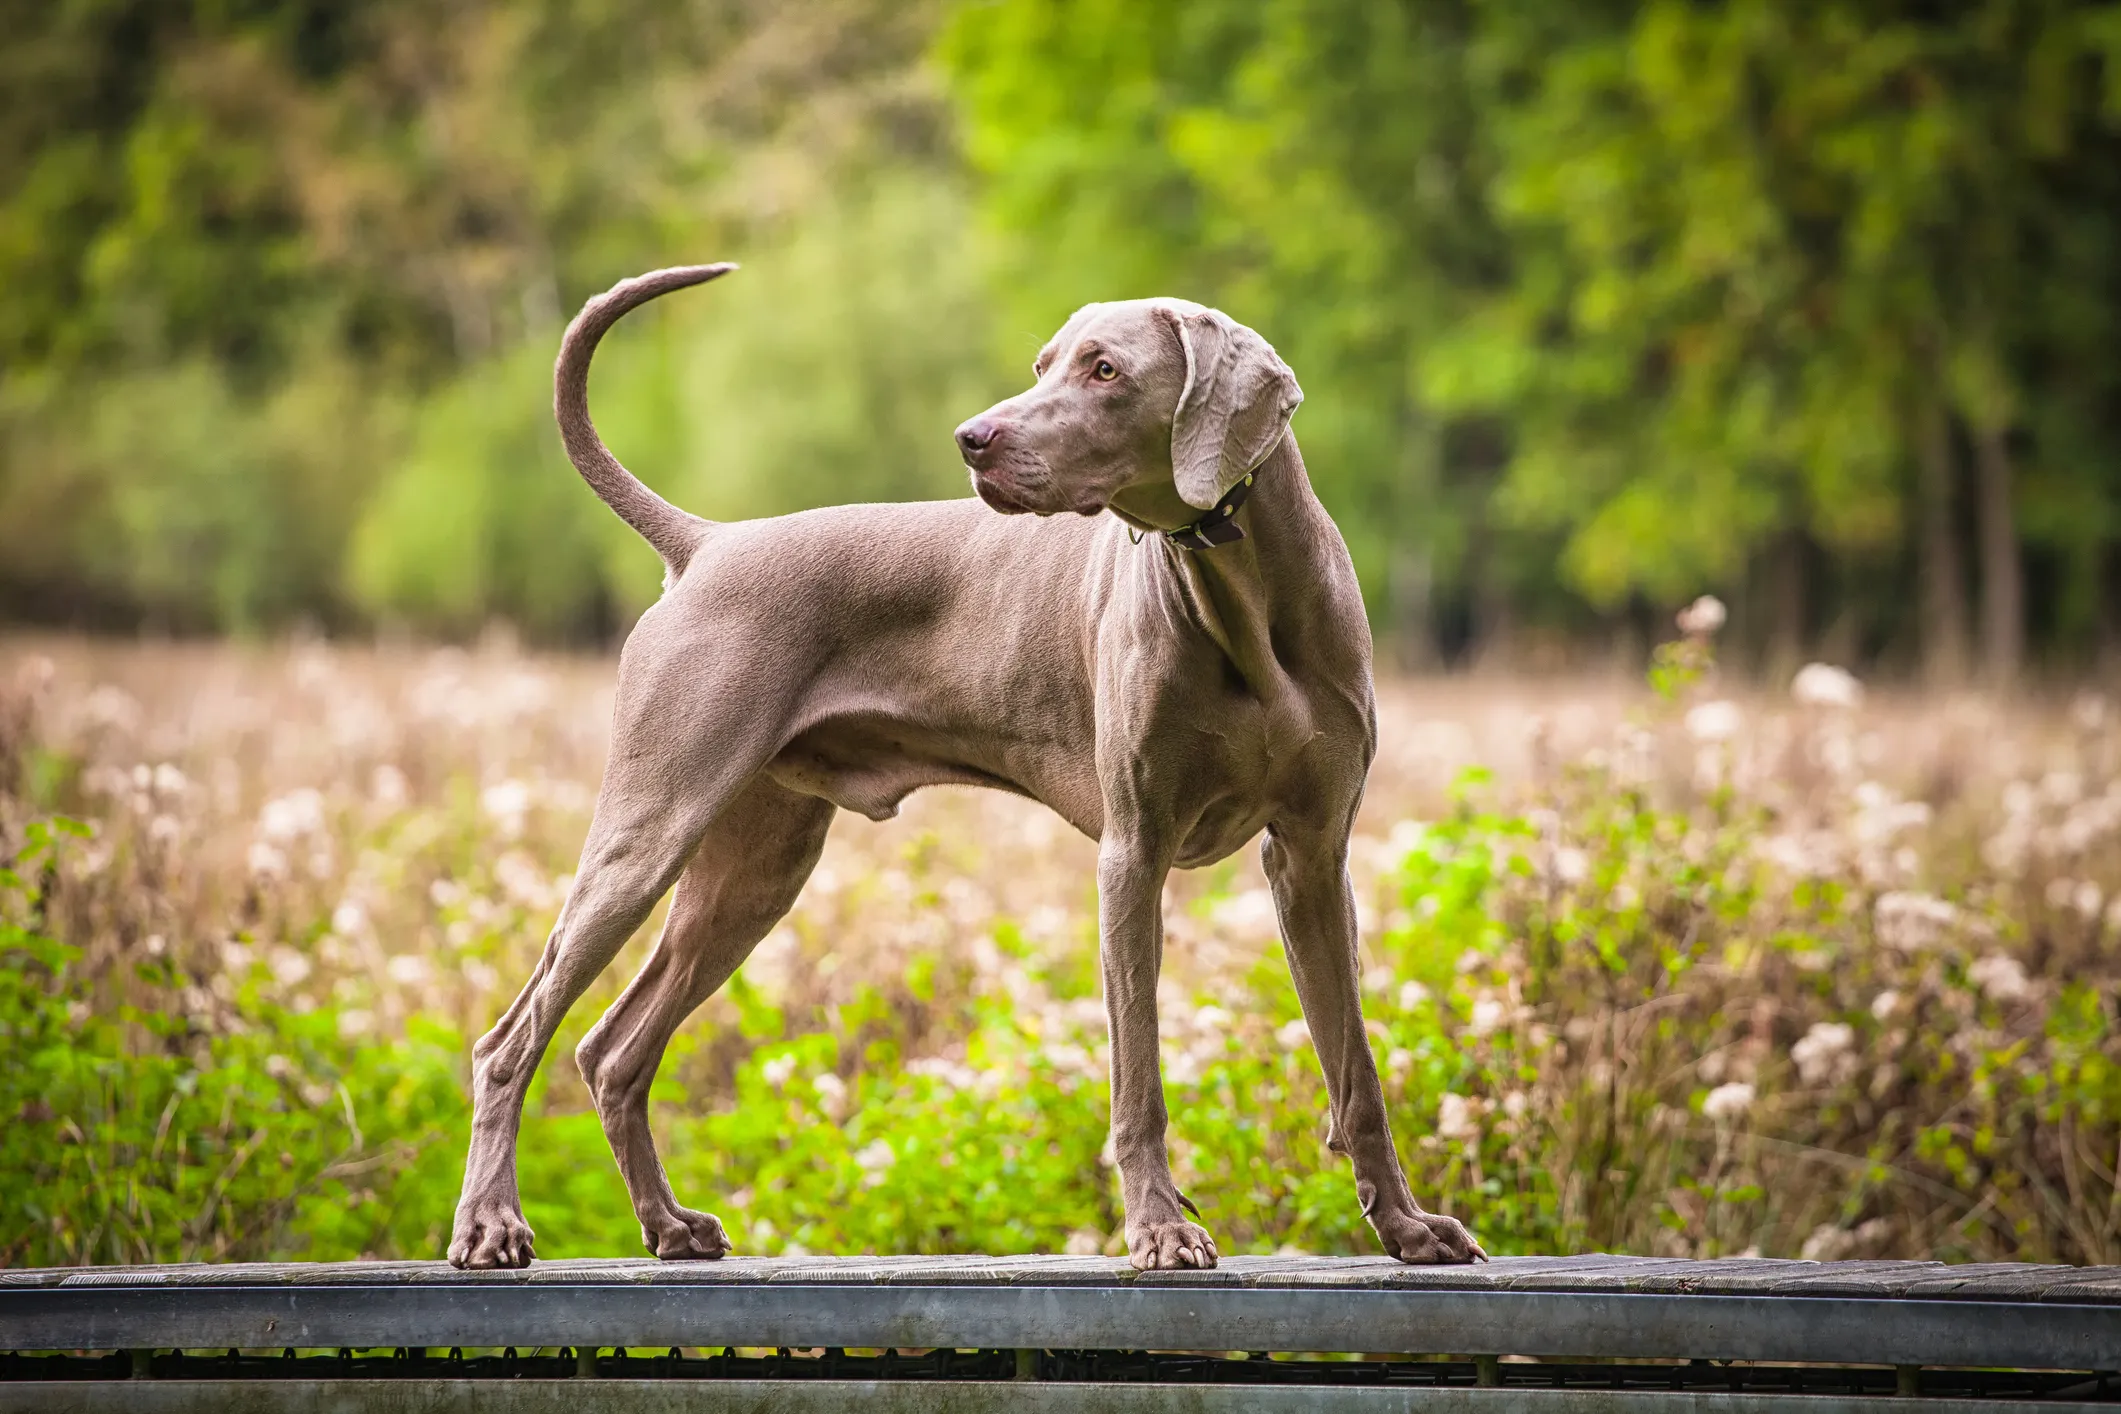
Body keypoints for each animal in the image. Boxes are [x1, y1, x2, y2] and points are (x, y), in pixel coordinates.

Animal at [441, 262, 1484, 1271]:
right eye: (1042, 364)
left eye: (1104, 369)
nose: (971, 439)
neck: (1243, 589)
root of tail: (708, 542)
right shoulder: (1132, 852)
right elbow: (1138, 1076)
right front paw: (1159, 1230)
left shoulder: (1311, 854)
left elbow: (1355, 1068)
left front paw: (1408, 1228)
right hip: (650, 826)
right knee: (509, 1041)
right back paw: (492, 1225)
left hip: (753, 869)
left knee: (613, 1051)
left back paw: (667, 1225)